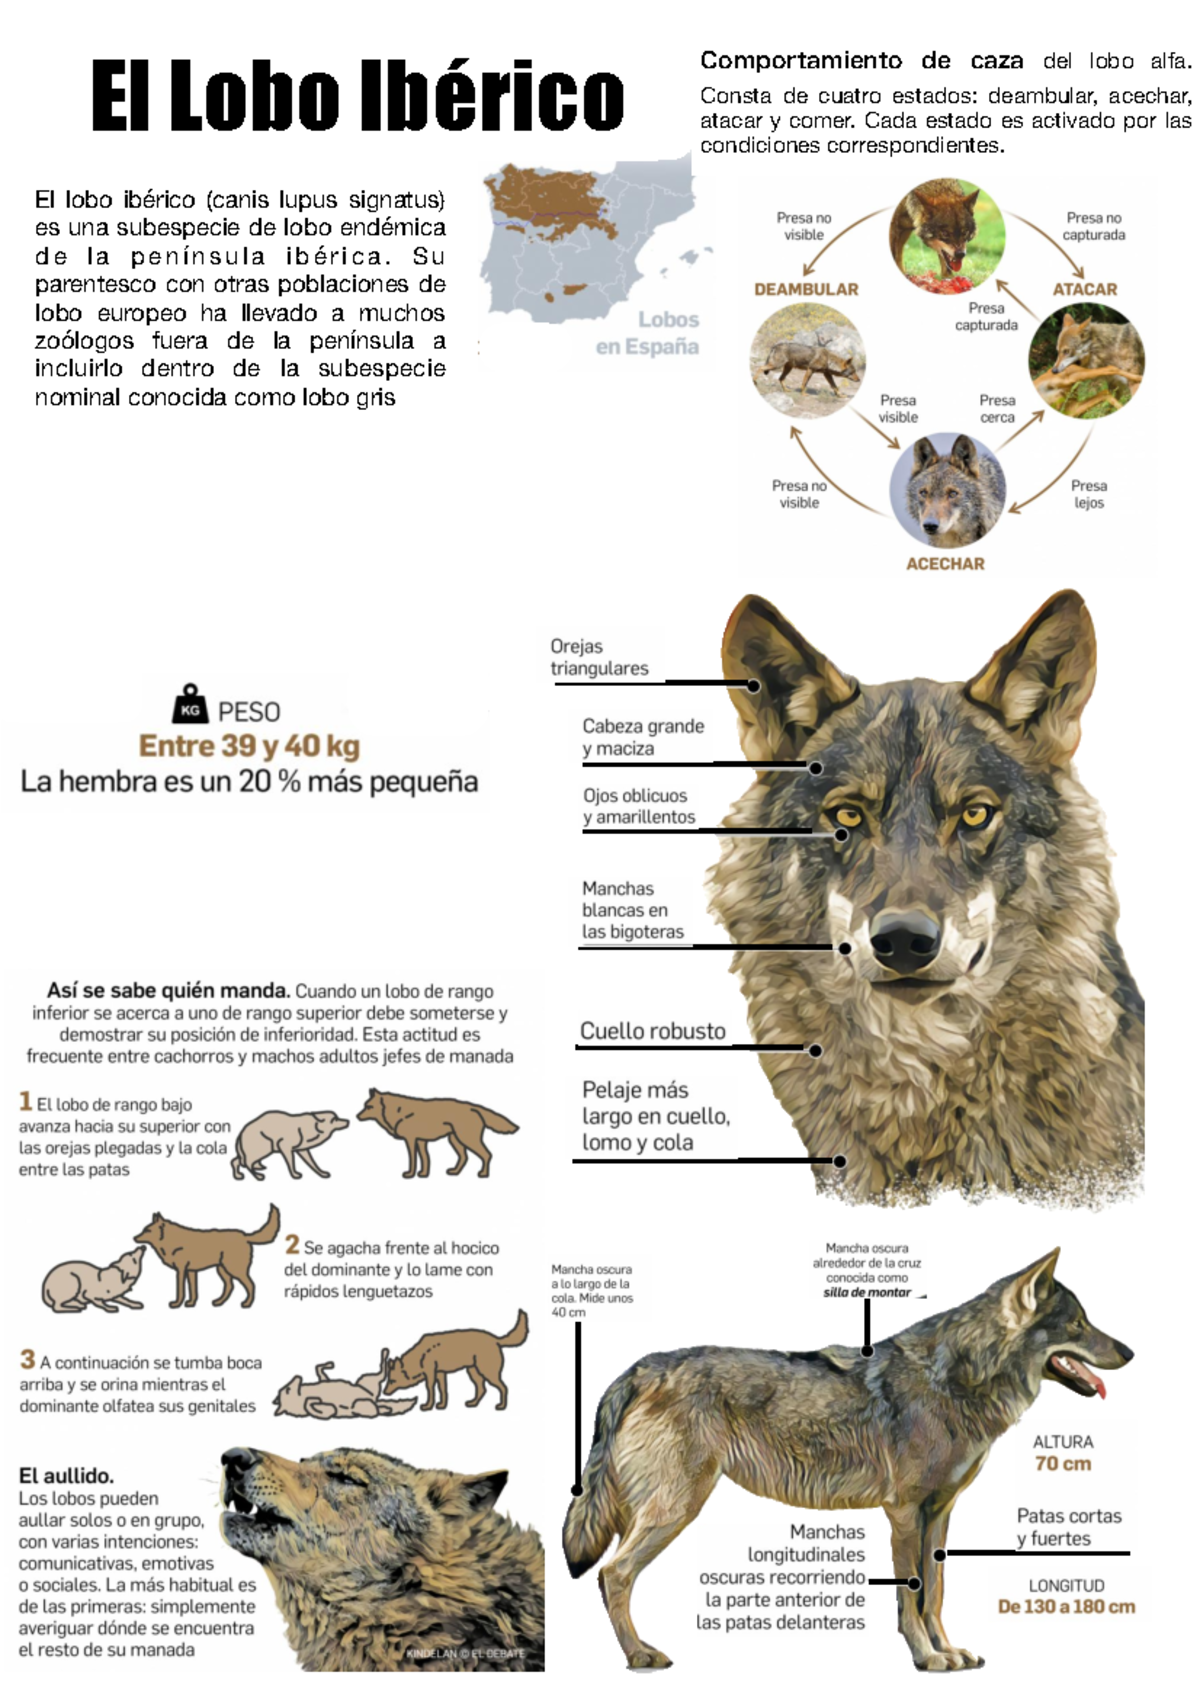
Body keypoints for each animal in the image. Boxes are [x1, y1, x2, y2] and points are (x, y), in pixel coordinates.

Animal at [564, 1250, 1132, 1673]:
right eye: (1078, 1324)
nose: (1129, 1352)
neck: (958, 1378)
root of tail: (640, 1368)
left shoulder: (939, 1513)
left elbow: (935, 1593)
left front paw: (948, 1652)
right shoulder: (903, 1512)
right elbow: (910, 1594)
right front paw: (926, 1658)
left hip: (655, 1511)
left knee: (611, 1575)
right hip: (674, 1510)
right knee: (613, 1574)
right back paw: (640, 1656)